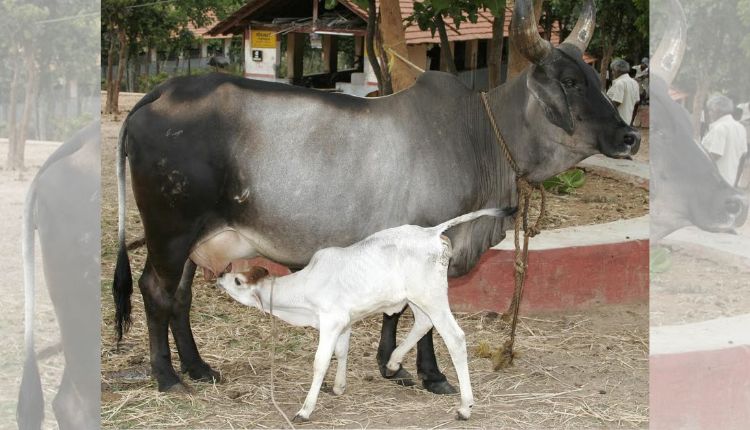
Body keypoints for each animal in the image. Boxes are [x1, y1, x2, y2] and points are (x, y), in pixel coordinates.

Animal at [217, 207, 512, 422]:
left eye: (238, 282)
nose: (220, 274)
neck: (304, 290)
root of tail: (431, 232)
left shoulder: (331, 320)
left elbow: (320, 361)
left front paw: (305, 409)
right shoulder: (344, 322)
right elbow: (341, 352)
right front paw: (338, 387)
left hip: (433, 297)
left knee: (455, 338)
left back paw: (465, 407)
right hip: (418, 298)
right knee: (422, 323)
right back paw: (392, 363)